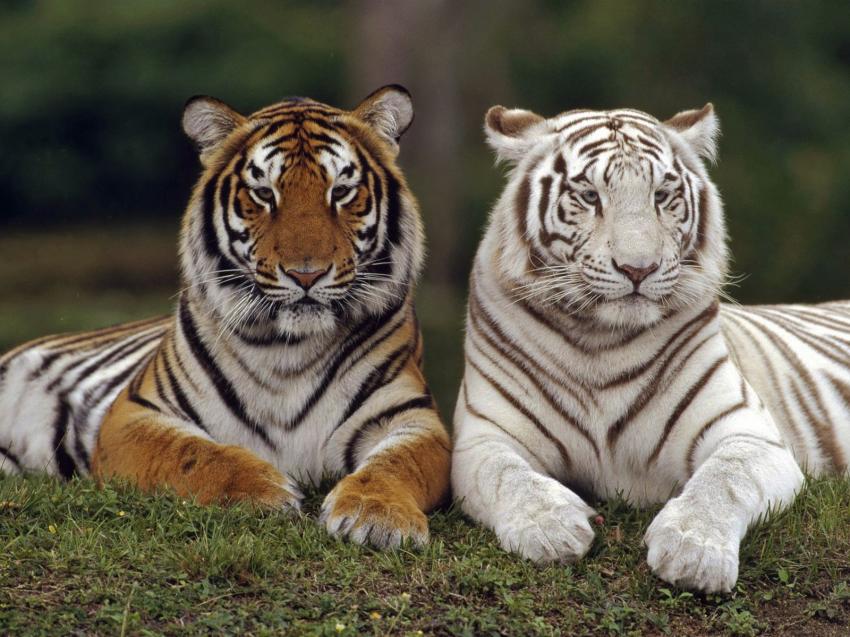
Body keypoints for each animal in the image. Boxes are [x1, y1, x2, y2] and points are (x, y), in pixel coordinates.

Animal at [0, 85, 451, 549]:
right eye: (264, 194)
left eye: (341, 191)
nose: (306, 274)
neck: (289, 348)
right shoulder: (135, 414)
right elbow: (192, 453)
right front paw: (264, 490)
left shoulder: (412, 417)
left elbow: (398, 464)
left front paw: (378, 515)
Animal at [452, 102, 850, 593]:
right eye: (589, 196)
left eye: (662, 195)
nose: (638, 268)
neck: (600, 342)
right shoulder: (483, 437)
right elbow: (507, 476)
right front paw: (551, 528)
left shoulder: (750, 433)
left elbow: (725, 478)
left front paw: (693, 551)